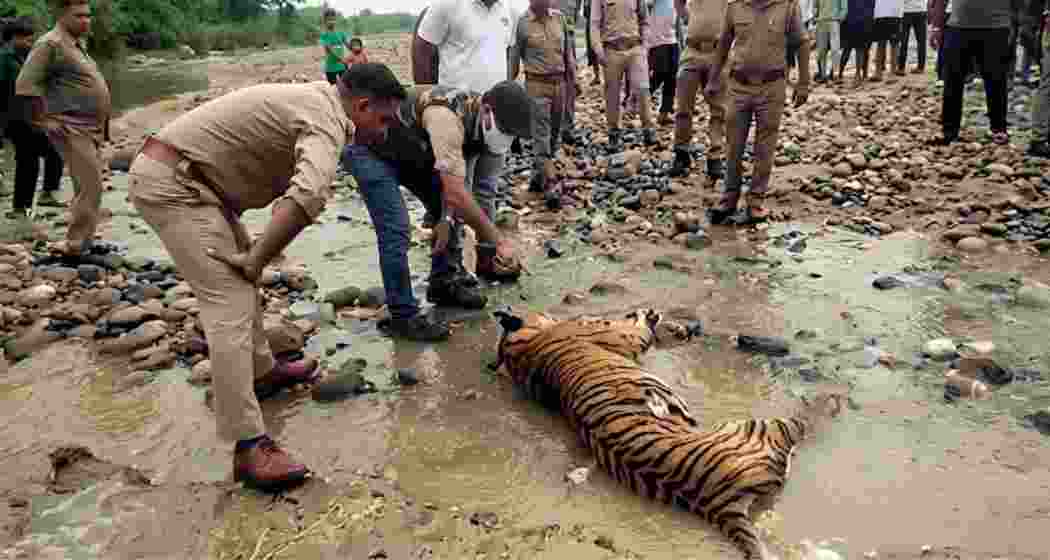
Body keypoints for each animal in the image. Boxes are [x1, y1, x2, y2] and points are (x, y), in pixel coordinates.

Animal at [491, 307, 844, 560]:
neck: (523, 351)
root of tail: (718, 504)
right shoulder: (625, 336)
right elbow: (638, 328)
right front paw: (648, 315)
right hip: (763, 427)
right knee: (806, 420)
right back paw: (833, 396)